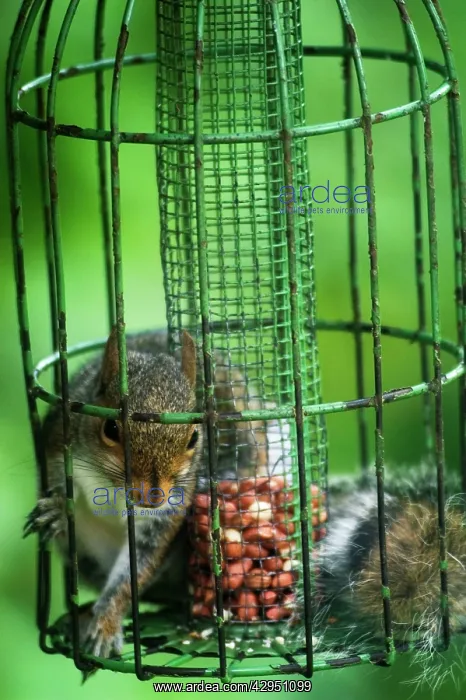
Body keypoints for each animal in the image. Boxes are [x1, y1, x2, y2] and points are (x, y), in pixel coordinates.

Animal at [24, 327, 267, 661]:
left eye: (194, 438)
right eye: (110, 428)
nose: (152, 497)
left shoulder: (168, 513)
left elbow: (134, 573)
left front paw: (107, 624)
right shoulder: (57, 444)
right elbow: (54, 484)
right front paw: (57, 508)